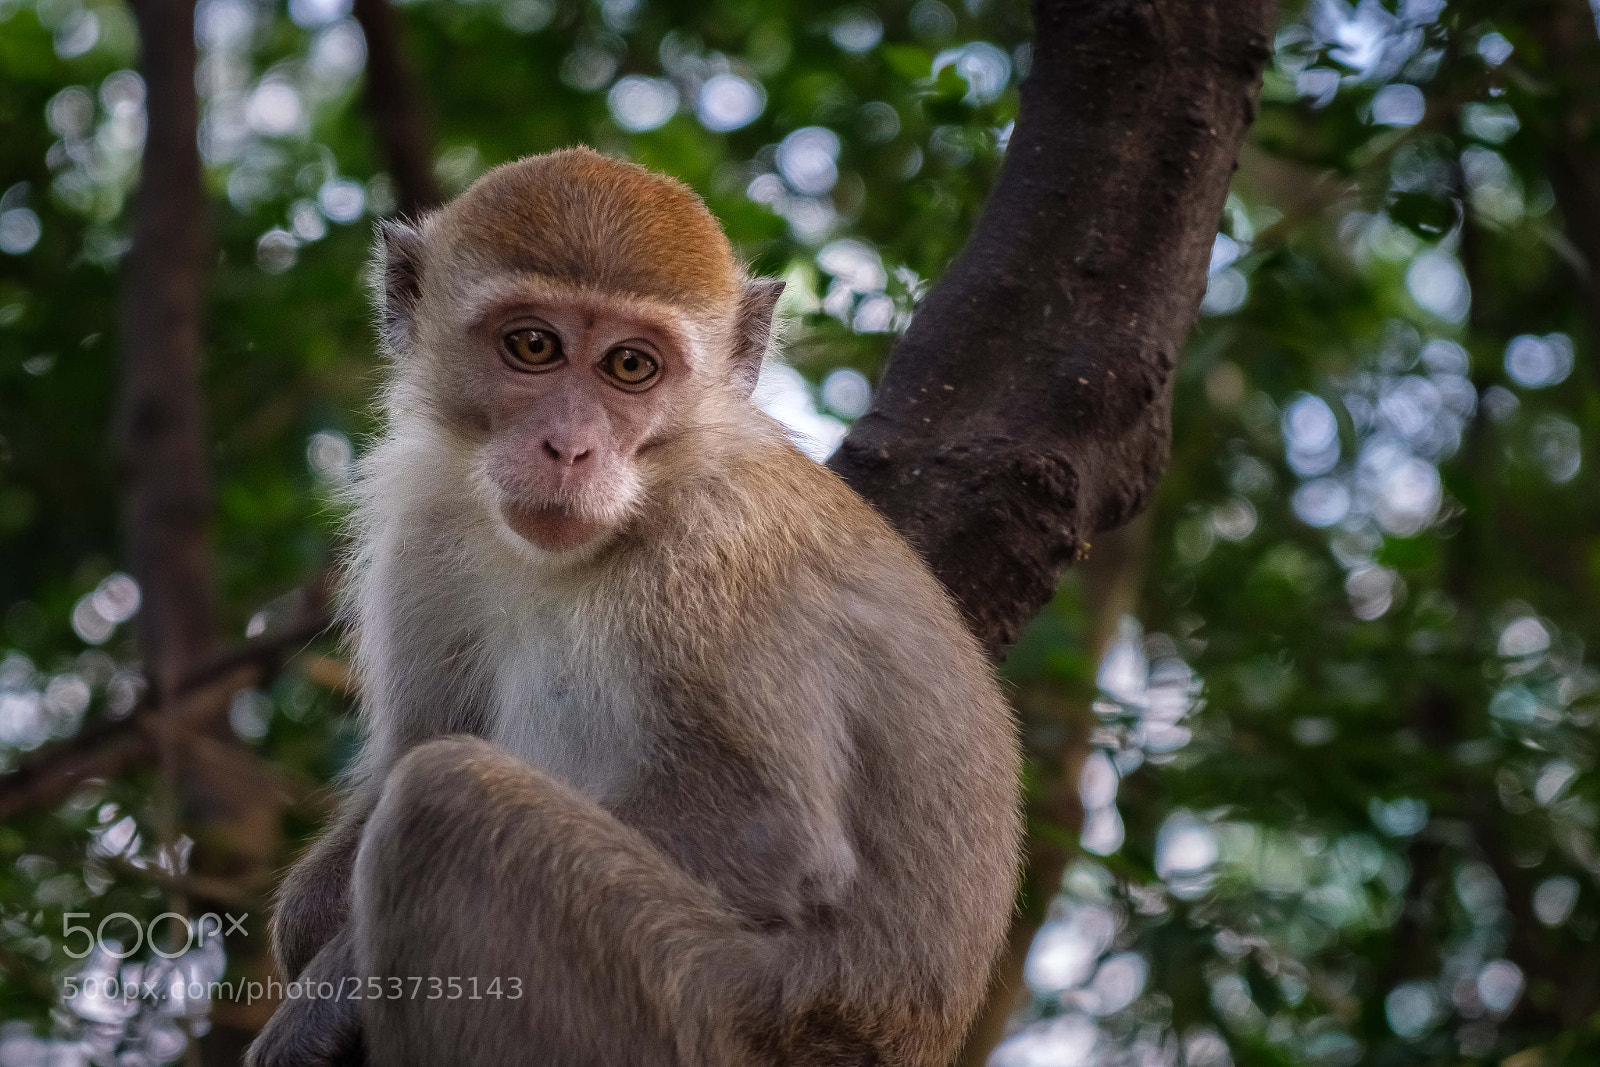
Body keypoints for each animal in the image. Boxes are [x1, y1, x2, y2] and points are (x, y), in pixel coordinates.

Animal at [246, 146, 1021, 1067]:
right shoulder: (426, 521)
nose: (568, 447)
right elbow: (412, 745)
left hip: (706, 1020)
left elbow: (770, 830)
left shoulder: (717, 556)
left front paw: (331, 993)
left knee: (447, 801)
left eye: (630, 366)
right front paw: (315, 936)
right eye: (533, 345)